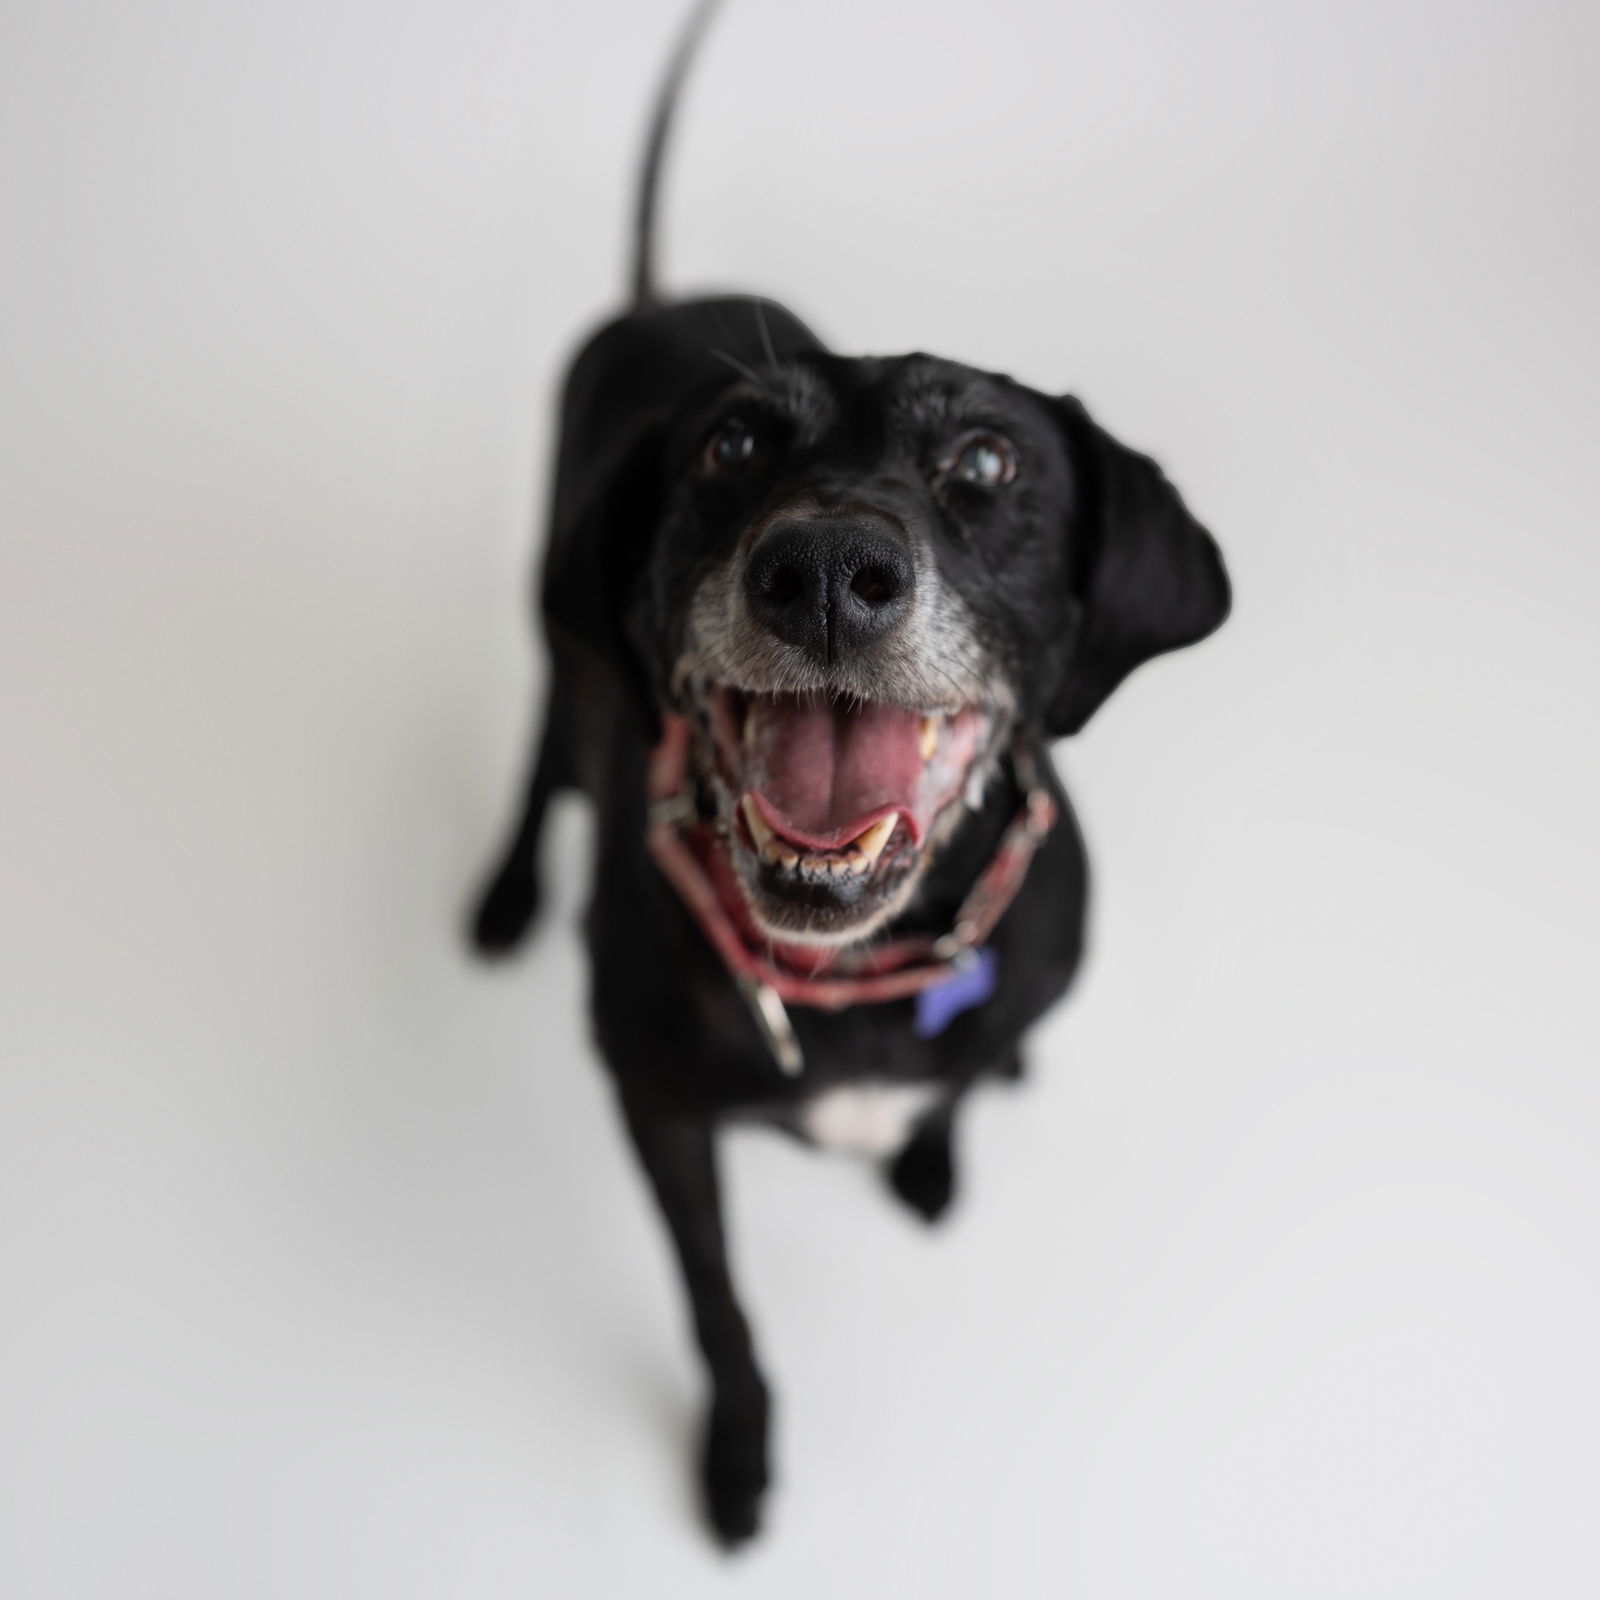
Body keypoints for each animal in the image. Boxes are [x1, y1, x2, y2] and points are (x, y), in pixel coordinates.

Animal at [467, 3, 1228, 1548]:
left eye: (986, 459)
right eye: (732, 443)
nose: (822, 571)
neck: (853, 979)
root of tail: (661, 293)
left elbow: (964, 1078)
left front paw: (935, 1151)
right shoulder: (659, 1115)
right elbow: (718, 1305)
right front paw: (739, 1454)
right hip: (557, 641)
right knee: (538, 761)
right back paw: (507, 894)